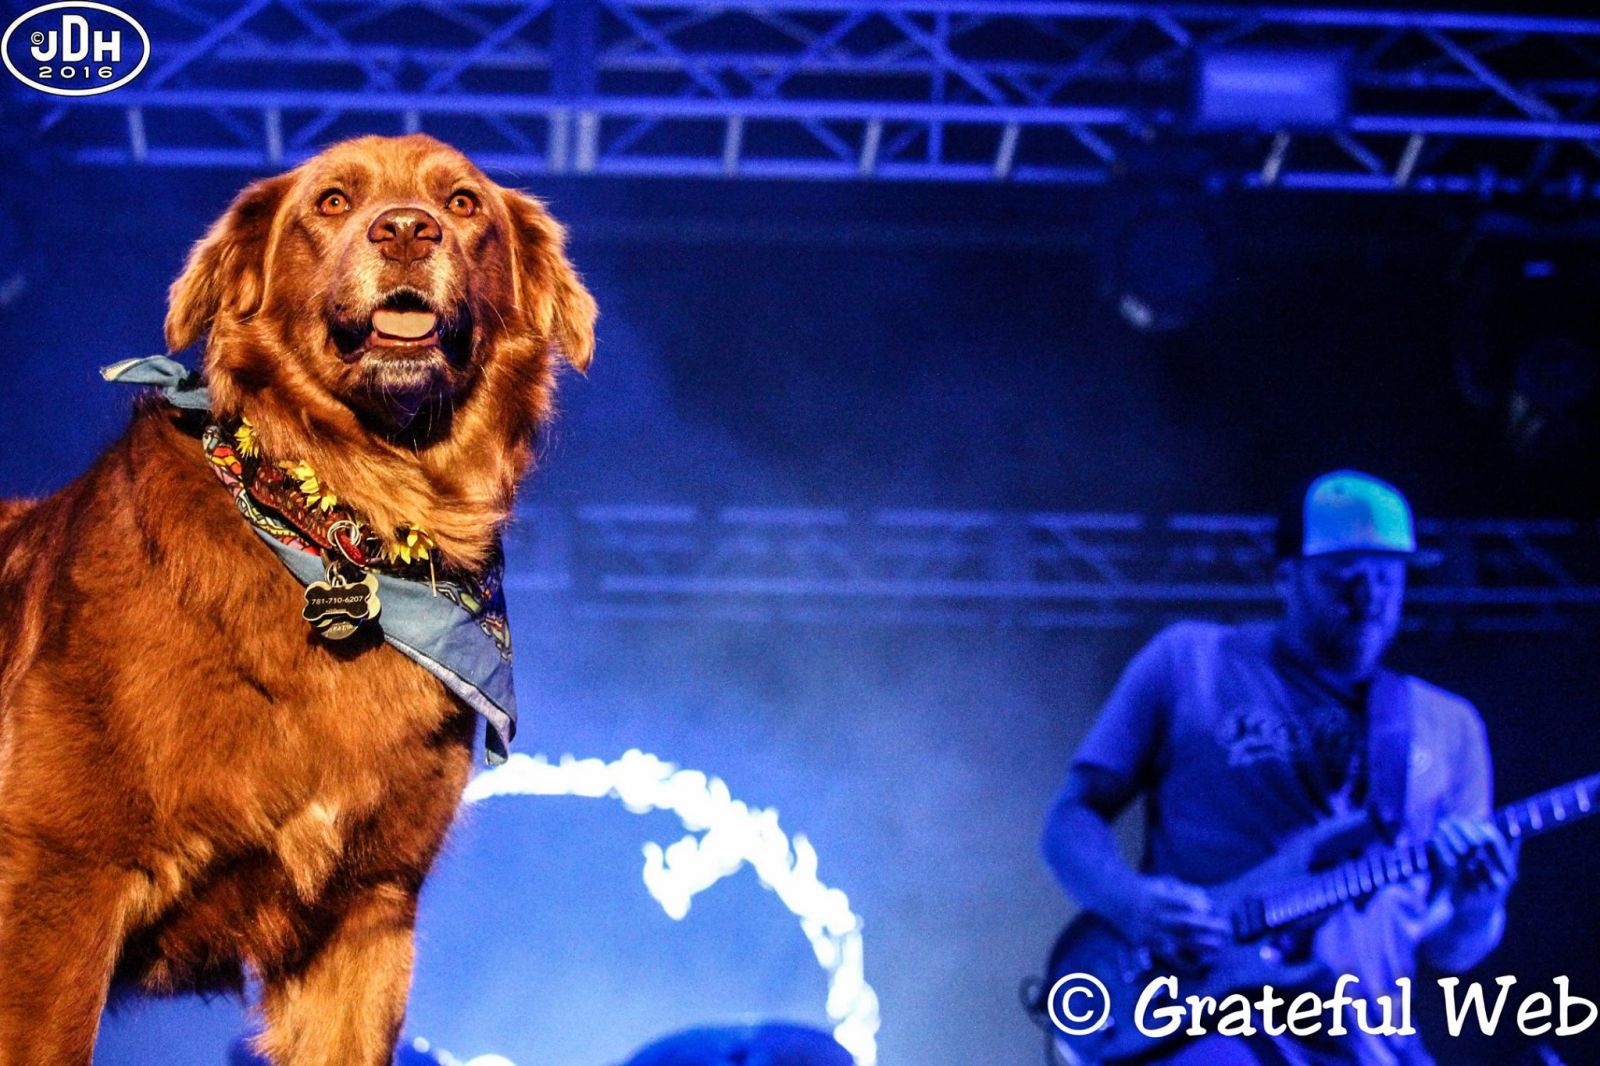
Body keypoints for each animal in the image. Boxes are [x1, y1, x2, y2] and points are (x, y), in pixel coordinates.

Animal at [0, 135, 595, 1062]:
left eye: (462, 204)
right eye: (332, 201)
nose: (405, 230)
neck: (342, 527)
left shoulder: (365, 916)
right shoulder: (54, 884)